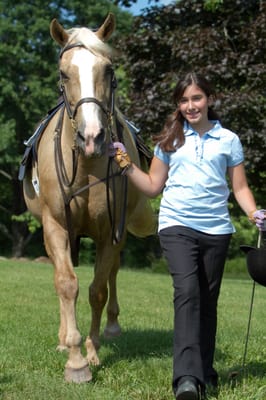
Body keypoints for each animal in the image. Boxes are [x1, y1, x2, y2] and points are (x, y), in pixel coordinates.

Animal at [22, 11, 156, 382]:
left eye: (108, 70)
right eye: (63, 73)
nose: (92, 136)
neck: (85, 163)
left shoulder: (109, 231)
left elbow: (97, 289)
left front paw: (92, 351)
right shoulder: (55, 226)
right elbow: (66, 284)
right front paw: (74, 358)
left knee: (112, 275)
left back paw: (111, 328)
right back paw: (62, 339)